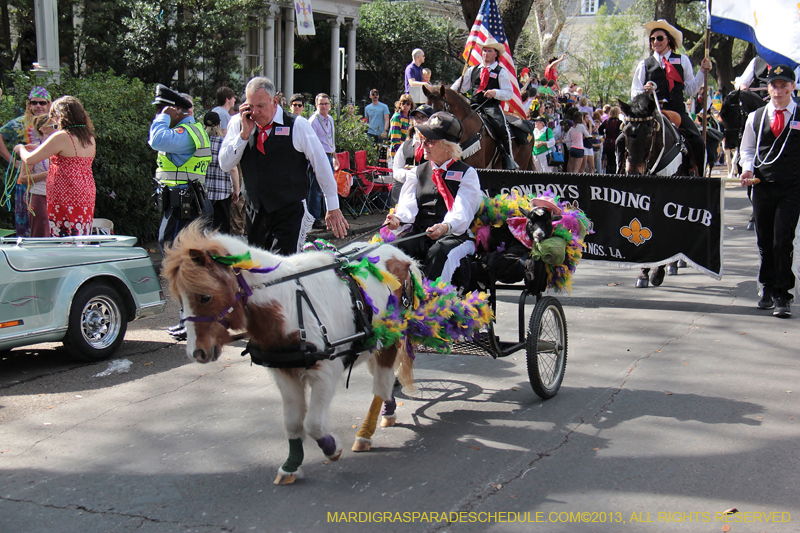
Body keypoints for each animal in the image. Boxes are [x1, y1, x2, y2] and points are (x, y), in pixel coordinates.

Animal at [161, 222, 494, 484]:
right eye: (180, 299)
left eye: (205, 296)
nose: (197, 353)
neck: (286, 304)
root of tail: (400, 256)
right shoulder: (284, 375)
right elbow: (293, 423)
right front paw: (290, 466)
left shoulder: (324, 374)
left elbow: (313, 424)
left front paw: (332, 448)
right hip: (375, 341)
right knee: (384, 380)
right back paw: (388, 412)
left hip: (388, 340)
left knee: (380, 385)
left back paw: (365, 433)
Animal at [620, 93, 688, 288]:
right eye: (625, 132)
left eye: (649, 132)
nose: (634, 173)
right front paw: (644, 272)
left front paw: (658, 272)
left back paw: (674, 263)